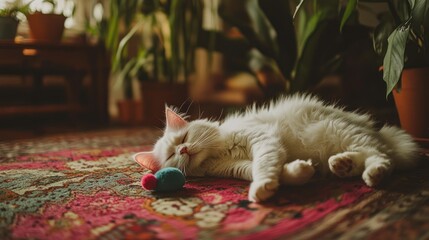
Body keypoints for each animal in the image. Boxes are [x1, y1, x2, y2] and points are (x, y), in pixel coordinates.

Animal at [134, 94, 418, 202]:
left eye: (183, 138)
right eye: (171, 155)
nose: (183, 151)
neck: (219, 151)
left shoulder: (263, 140)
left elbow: (264, 166)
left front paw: (261, 191)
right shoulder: (238, 166)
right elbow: (272, 170)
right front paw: (299, 172)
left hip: (341, 131)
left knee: (383, 157)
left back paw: (373, 174)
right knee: (365, 157)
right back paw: (341, 165)